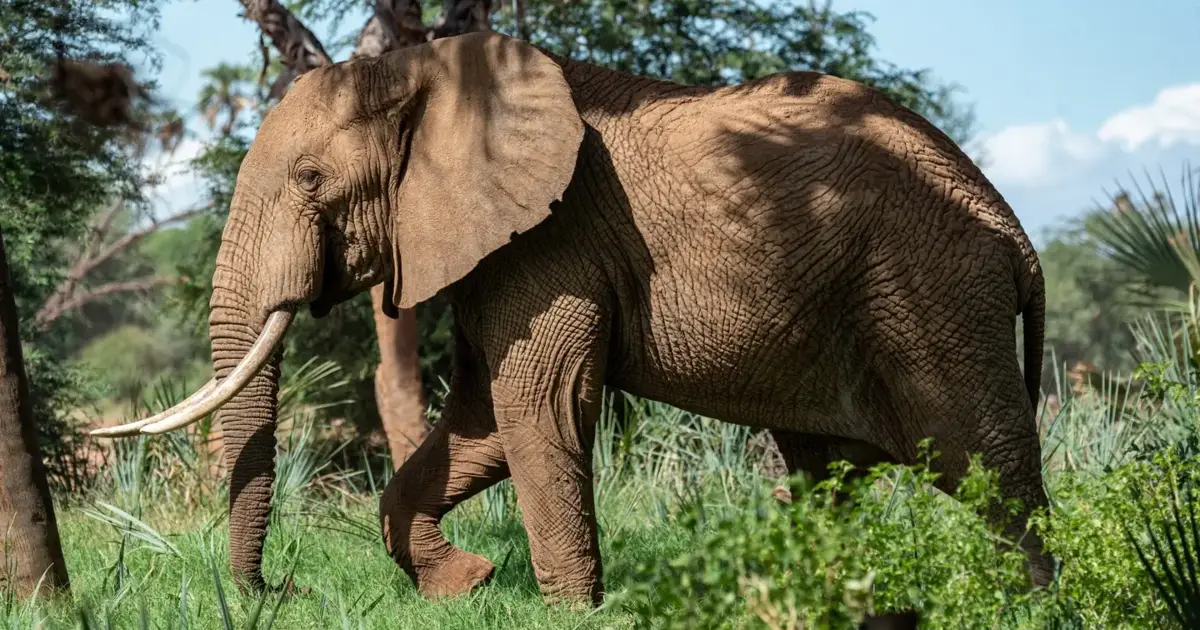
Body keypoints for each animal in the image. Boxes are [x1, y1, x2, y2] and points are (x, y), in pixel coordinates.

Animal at [94, 30, 1053, 605]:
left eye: (309, 181)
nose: (279, 593)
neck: (427, 70)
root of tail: (1014, 229)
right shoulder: (496, 247)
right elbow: (481, 422)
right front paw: (467, 584)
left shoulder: (553, 240)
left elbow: (538, 407)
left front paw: (571, 612)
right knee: (831, 473)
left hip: (933, 293)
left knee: (989, 469)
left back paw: (1028, 604)